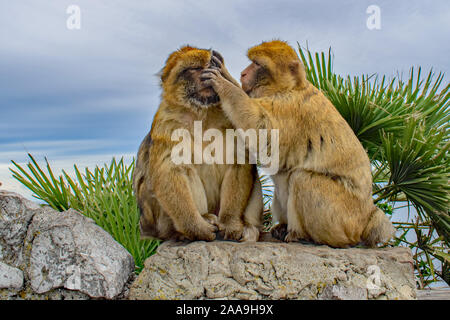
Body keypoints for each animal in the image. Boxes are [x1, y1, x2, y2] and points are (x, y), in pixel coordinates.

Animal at [132, 46, 262, 241]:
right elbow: (169, 172)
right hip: (158, 220)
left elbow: (239, 161)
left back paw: (247, 228)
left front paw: (230, 223)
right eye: (194, 69)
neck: (201, 112)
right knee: (183, 170)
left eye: (208, 66)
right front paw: (196, 227)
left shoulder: (230, 116)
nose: (204, 76)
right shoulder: (166, 121)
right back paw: (197, 223)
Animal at [201, 38, 394, 246]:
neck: (291, 88)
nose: (243, 73)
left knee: (302, 179)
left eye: (257, 64)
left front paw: (222, 83)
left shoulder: (289, 108)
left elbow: (262, 131)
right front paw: (223, 70)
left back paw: (303, 235)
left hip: (344, 218)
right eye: (251, 62)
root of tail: (367, 219)